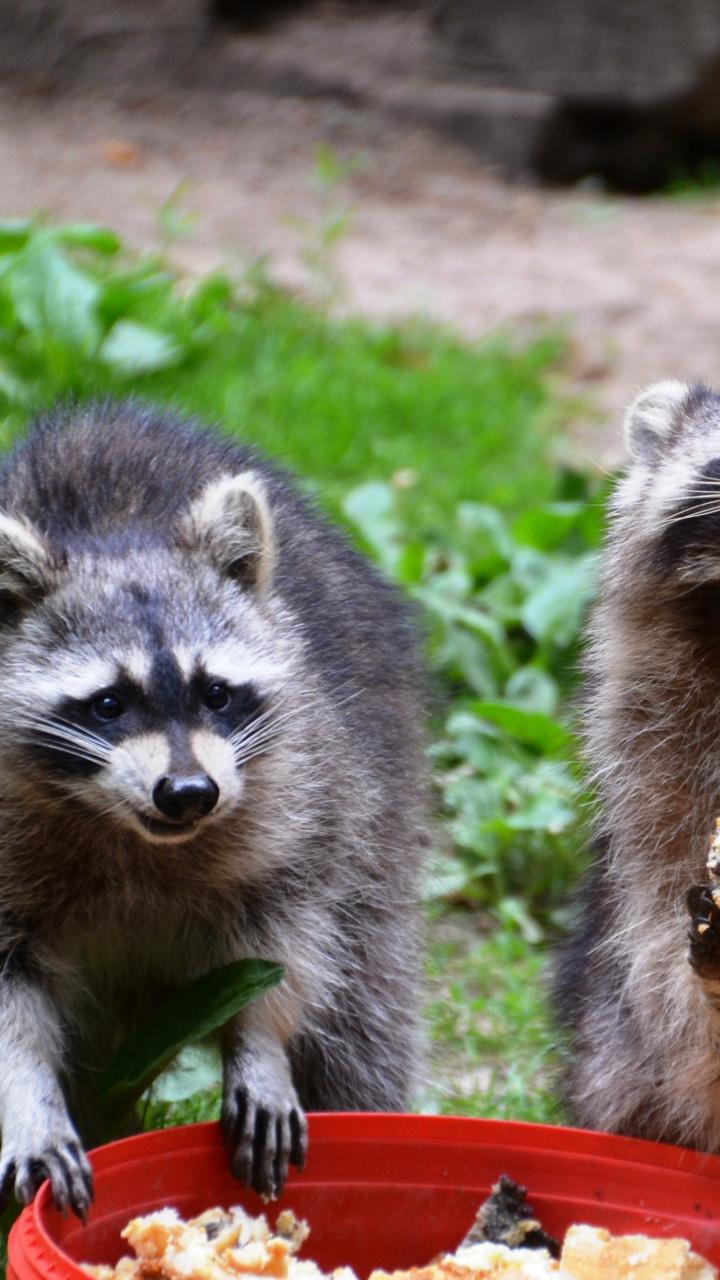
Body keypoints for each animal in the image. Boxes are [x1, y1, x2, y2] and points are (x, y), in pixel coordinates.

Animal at [0, 400, 427, 1218]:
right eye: (108, 705)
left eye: (217, 694)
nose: (190, 793)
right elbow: (7, 1000)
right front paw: (30, 1102)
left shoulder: (301, 804)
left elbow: (282, 948)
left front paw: (259, 1045)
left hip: (381, 814)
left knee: (363, 1015)